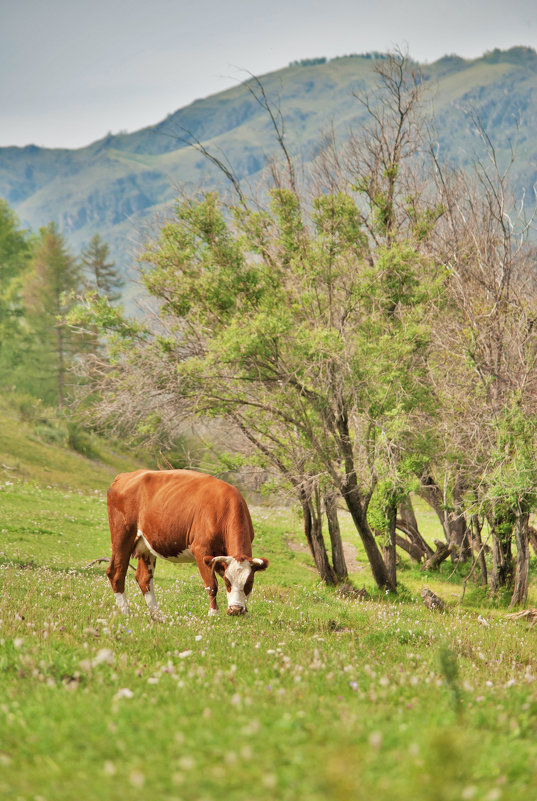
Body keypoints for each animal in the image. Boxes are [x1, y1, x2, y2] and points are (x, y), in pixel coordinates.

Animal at [105, 468, 268, 620]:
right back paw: (126, 613)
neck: (224, 508)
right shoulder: (201, 549)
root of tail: (124, 476)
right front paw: (213, 613)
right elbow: (212, 585)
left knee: (144, 578)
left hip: (146, 545)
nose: (235, 610)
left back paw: (158, 616)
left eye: (249, 582)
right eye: (228, 582)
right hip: (122, 535)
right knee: (116, 572)